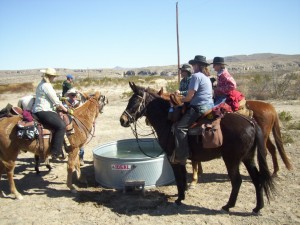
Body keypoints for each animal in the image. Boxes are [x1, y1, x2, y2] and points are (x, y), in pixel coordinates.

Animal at [120, 82, 276, 213]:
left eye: (134, 102)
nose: (123, 120)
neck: (168, 120)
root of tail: (251, 123)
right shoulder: (181, 157)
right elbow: (183, 177)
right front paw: (181, 195)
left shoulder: (173, 158)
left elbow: (179, 178)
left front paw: (179, 199)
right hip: (248, 158)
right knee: (257, 179)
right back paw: (257, 207)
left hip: (231, 160)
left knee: (237, 181)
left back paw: (228, 206)